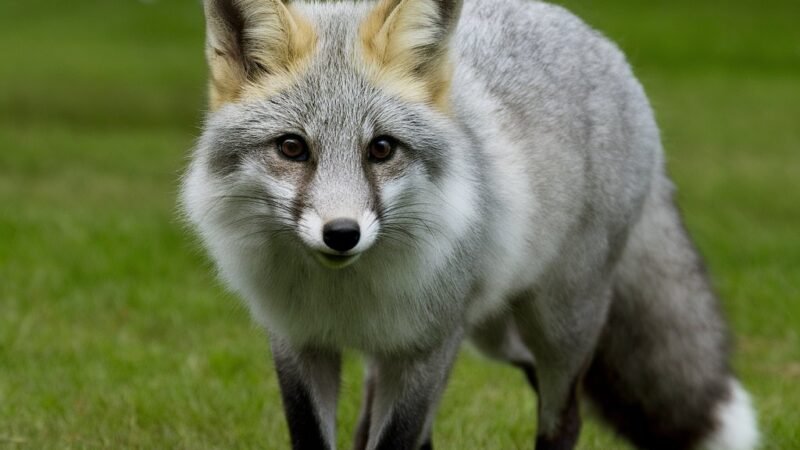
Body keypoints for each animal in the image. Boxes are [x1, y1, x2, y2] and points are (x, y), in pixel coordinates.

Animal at [180, 0, 760, 449]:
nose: (342, 234)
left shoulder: (429, 345)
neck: (343, 296)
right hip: (481, 334)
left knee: (565, 417)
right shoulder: (298, 343)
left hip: (554, 323)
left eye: (381, 149)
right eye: (292, 148)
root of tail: (598, 40)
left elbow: (397, 439)